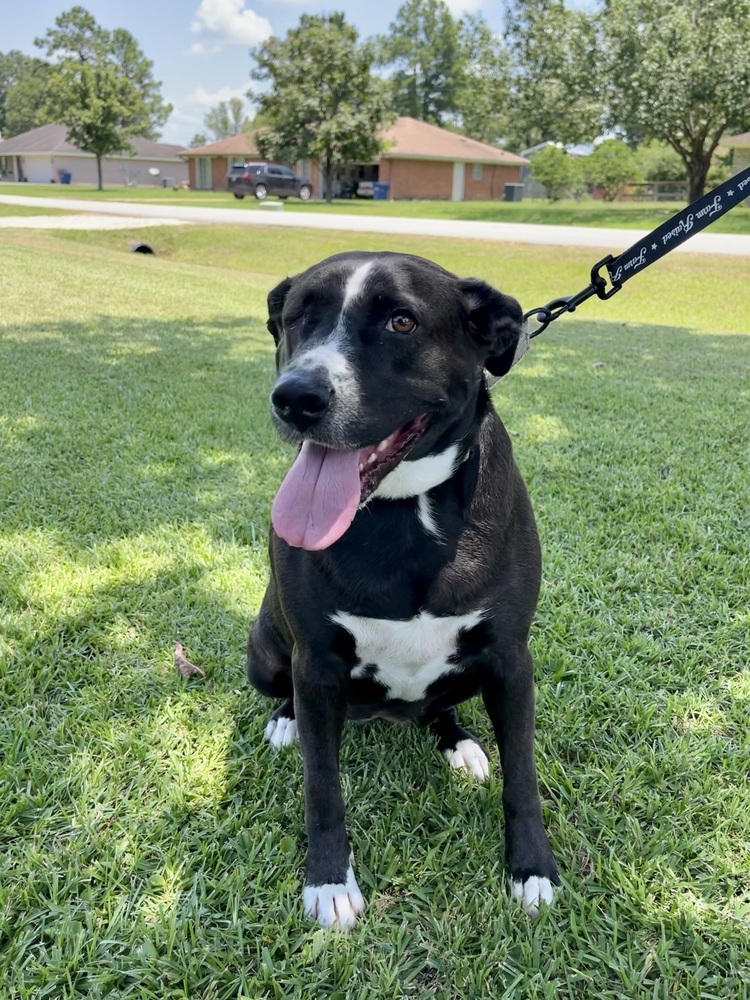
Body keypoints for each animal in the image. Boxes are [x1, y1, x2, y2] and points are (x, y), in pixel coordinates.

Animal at [250, 250, 560, 928]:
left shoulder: (511, 659)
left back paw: (460, 742)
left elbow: (523, 776)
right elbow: (322, 787)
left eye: (401, 321)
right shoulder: (316, 663)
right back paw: (285, 721)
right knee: (284, 689)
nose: (295, 398)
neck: (403, 507)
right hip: (265, 652)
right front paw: (328, 882)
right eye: (298, 316)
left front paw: (532, 869)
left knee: (439, 706)